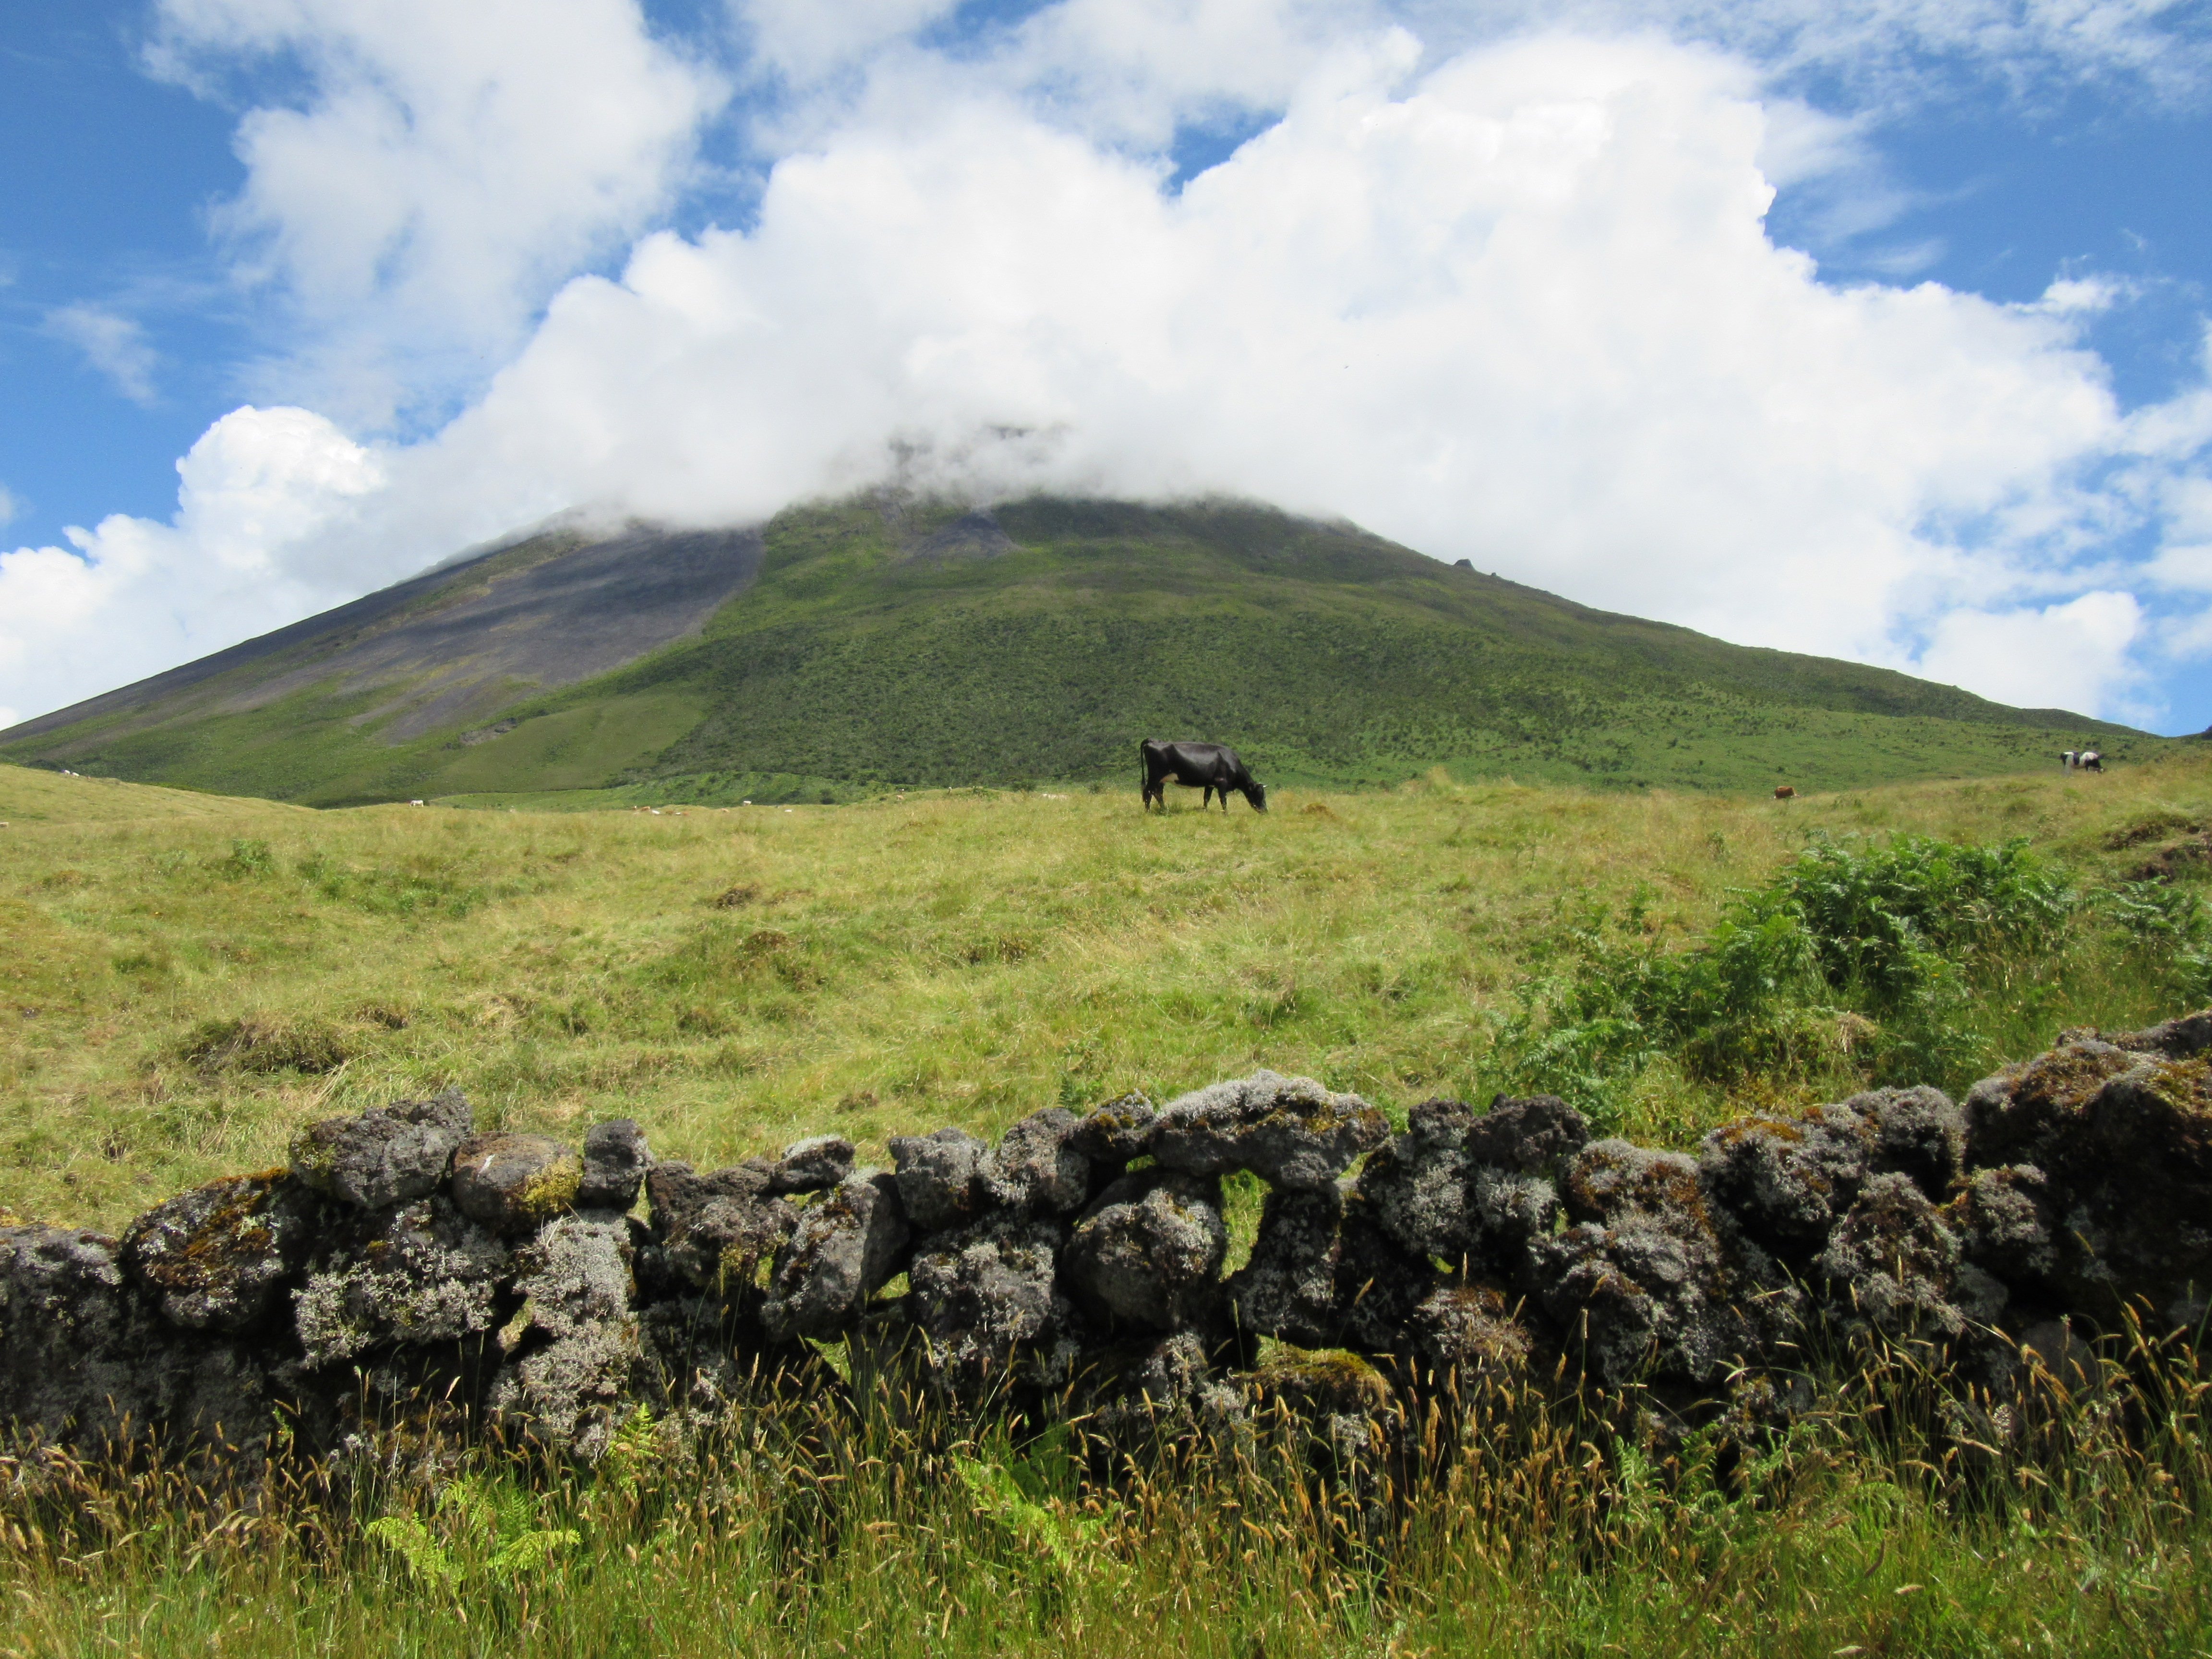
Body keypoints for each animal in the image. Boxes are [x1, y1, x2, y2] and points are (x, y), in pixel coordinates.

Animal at [1141, 743, 1265, 814]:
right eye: (1259, 794)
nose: (1265, 811)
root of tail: (1152, 741)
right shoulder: (1222, 783)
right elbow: (1224, 801)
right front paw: (1226, 814)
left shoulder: (1210, 784)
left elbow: (1206, 798)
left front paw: (1205, 811)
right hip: (1155, 776)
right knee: (1148, 792)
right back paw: (1148, 812)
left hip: (1161, 780)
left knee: (1158, 794)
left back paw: (1164, 810)